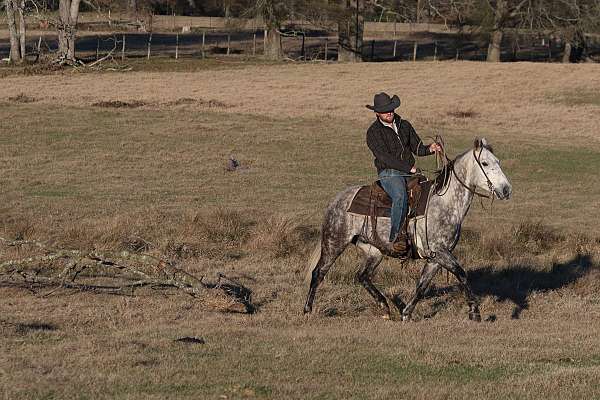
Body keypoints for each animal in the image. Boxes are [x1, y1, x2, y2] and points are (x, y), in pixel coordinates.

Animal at [304, 138, 510, 322]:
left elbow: (422, 286)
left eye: (498, 161)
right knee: (318, 273)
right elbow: (461, 274)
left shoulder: (435, 258)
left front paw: (406, 313)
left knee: (362, 276)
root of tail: (337, 200)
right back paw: (307, 310)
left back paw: (385, 307)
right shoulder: (440, 252)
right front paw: (475, 312)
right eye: (485, 163)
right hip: (334, 243)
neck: (444, 203)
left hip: (373, 251)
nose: (506, 189)